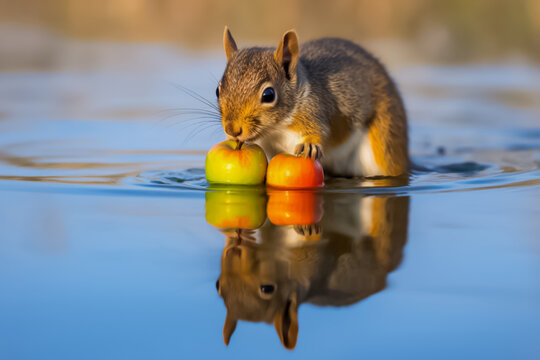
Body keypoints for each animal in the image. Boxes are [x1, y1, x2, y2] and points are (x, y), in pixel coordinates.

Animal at [217, 27, 408, 177]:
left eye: (268, 95)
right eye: (217, 91)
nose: (232, 130)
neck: (276, 128)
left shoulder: (316, 108)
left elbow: (321, 129)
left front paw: (309, 145)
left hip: (384, 141)